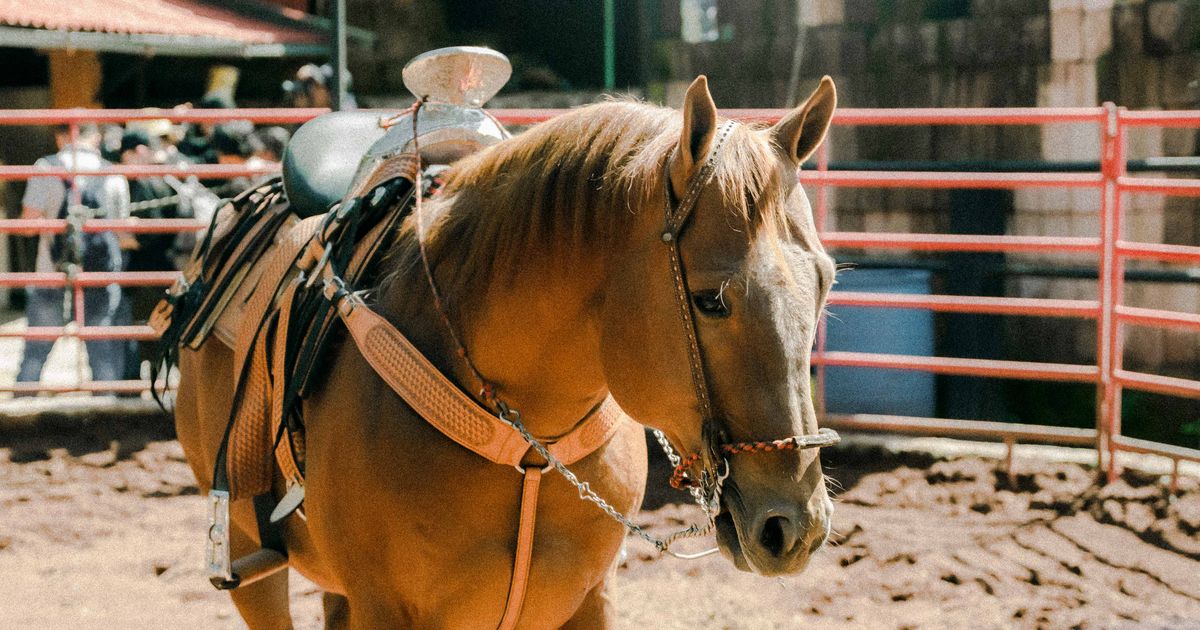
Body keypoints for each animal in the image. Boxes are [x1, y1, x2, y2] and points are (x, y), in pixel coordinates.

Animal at [172, 74, 839, 628]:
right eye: (709, 300)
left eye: (825, 281)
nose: (794, 526)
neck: (527, 443)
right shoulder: (384, 610)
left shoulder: (590, 600)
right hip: (247, 558)